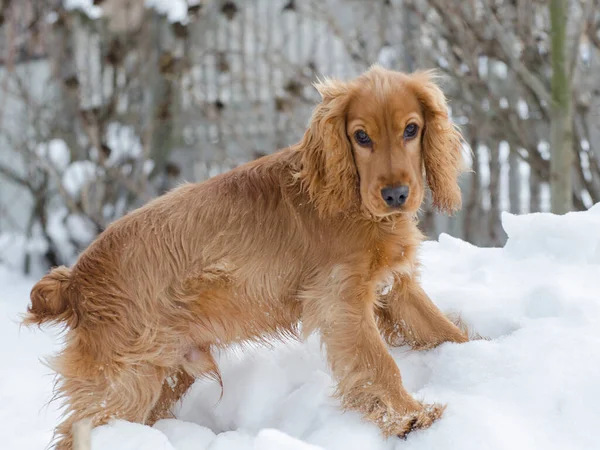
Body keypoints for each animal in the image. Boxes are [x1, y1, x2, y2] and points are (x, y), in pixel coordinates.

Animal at [24, 65, 468, 448]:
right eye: (361, 137)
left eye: (411, 129)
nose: (395, 195)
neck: (351, 201)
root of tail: (76, 279)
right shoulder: (341, 302)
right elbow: (378, 363)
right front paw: (410, 417)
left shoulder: (396, 287)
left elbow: (442, 330)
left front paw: (474, 357)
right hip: (125, 380)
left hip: (167, 374)